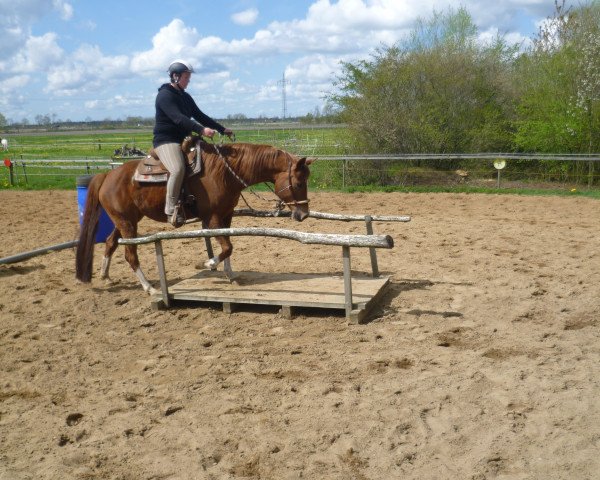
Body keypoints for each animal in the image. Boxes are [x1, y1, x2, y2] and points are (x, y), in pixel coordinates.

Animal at [75, 139, 312, 294]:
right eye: (299, 183)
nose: (304, 214)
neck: (224, 172)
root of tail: (107, 175)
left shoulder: (226, 216)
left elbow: (228, 246)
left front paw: (230, 275)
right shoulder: (213, 217)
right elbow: (227, 247)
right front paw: (206, 264)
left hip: (127, 221)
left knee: (110, 242)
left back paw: (105, 276)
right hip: (127, 223)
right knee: (130, 254)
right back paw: (149, 287)